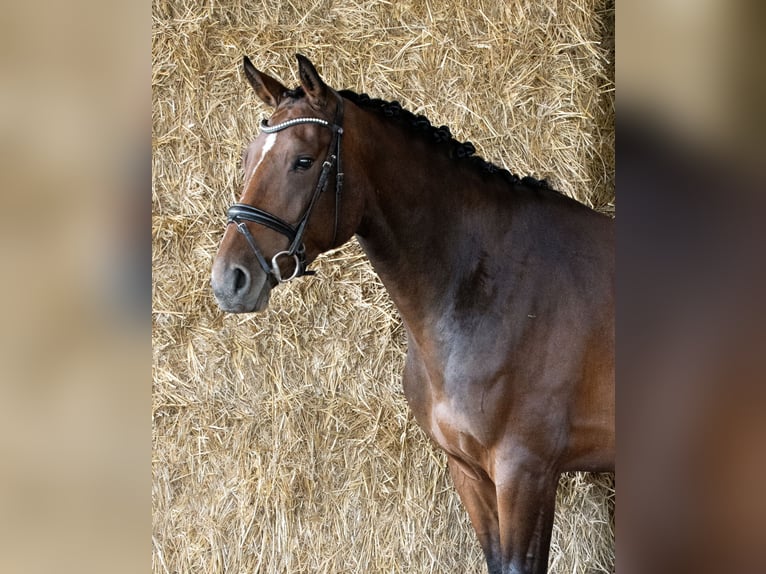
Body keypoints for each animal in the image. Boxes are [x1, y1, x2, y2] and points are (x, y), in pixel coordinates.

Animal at [212, 55, 616, 574]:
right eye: (247, 160)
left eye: (302, 161)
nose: (229, 280)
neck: (484, 288)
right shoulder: (469, 472)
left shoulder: (526, 473)